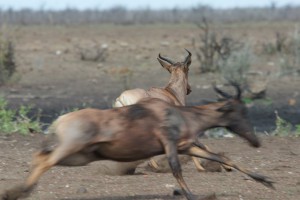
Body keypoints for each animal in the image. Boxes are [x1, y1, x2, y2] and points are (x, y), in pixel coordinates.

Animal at [0, 83, 274, 200]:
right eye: (239, 110)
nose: (256, 142)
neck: (175, 112)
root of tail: (61, 119)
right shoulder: (170, 146)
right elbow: (176, 169)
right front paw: (193, 196)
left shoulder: (186, 145)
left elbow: (222, 157)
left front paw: (266, 180)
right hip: (71, 150)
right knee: (44, 162)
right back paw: (19, 191)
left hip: (79, 157)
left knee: (39, 157)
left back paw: (19, 191)